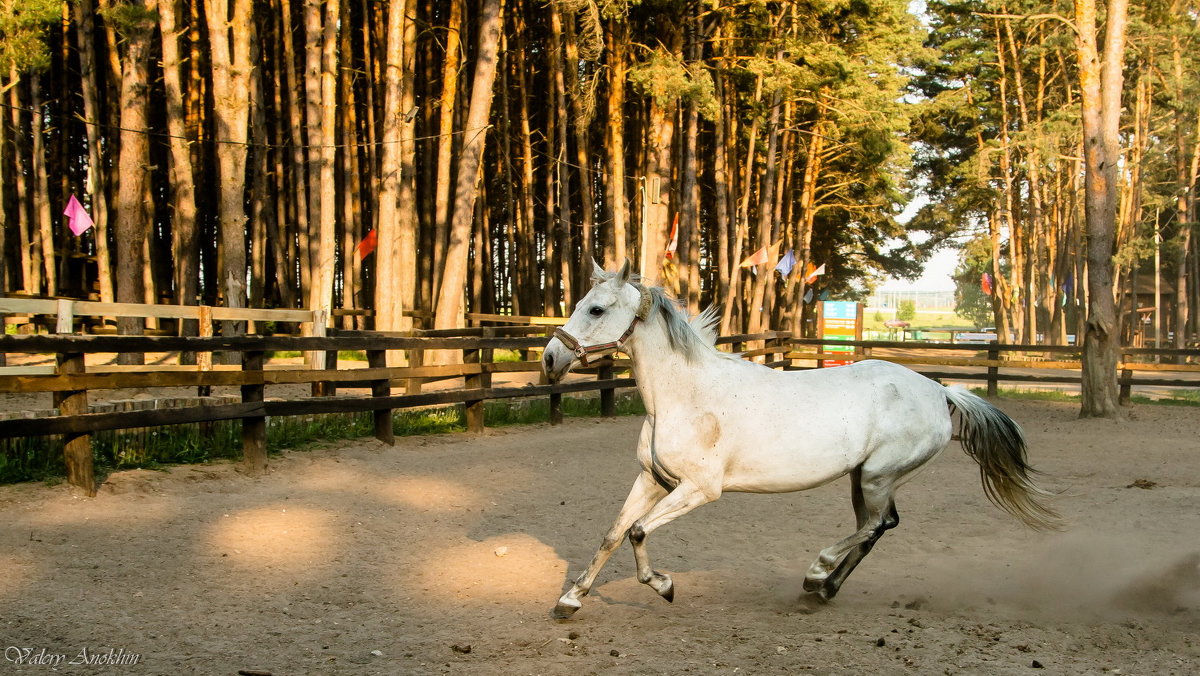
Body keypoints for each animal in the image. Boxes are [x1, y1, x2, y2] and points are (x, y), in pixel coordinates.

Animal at [540, 261, 1056, 619]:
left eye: (596, 308)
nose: (549, 359)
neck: (685, 395)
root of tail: (939, 390)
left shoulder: (699, 489)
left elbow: (637, 531)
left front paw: (663, 585)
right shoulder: (653, 479)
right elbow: (613, 534)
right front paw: (570, 600)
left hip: (878, 475)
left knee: (876, 526)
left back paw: (816, 572)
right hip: (863, 478)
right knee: (878, 527)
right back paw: (823, 590)